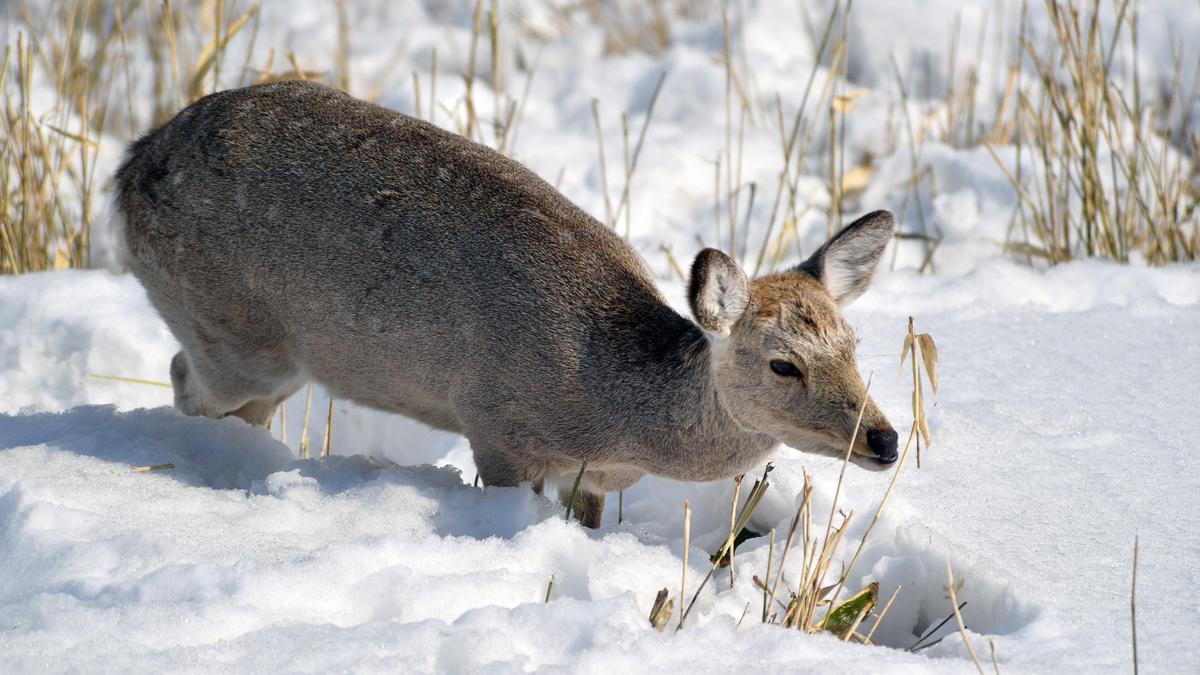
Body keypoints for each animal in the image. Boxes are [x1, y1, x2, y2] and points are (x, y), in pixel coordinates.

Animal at [114, 79, 902, 526]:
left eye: (855, 346)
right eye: (782, 364)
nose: (886, 439)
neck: (614, 415)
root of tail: (129, 166)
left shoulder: (593, 478)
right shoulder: (496, 425)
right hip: (229, 329)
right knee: (186, 377)